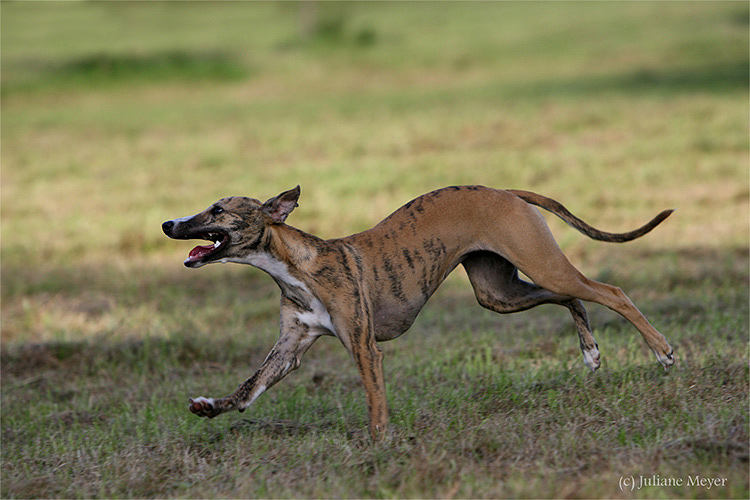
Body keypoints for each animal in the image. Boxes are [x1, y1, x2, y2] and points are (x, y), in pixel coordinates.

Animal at [160, 186, 676, 440]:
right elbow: (249, 388)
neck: (296, 267)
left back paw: (662, 351)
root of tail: (503, 190)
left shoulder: (365, 348)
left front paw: (379, 444)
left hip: (541, 265)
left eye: (217, 209)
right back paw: (590, 352)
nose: (167, 223)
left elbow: (374, 400)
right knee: (573, 298)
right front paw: (211, 407)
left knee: (610, 291)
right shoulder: (290, 347)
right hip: (499, 291)